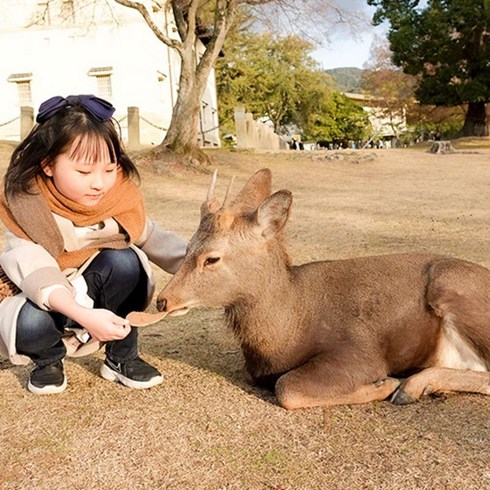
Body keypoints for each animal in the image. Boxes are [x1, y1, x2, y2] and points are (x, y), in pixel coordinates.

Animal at [157, 168, 490, 410]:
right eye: (186, 247)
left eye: (211, 258)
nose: (163, 300)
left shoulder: (360, 351)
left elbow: (288, 388)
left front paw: (384, 385)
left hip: (450, 285)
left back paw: (410, 386)